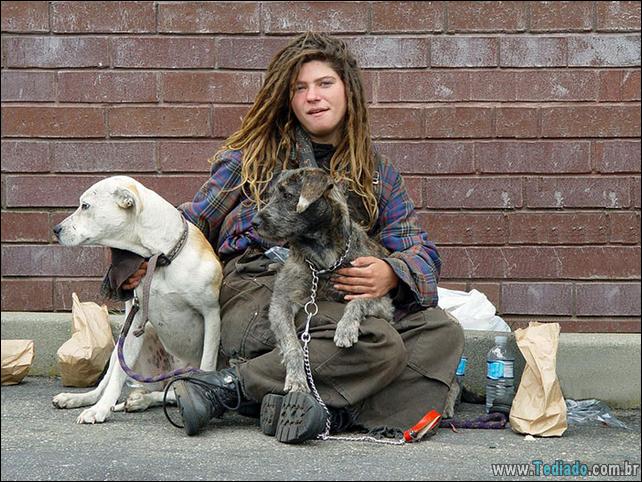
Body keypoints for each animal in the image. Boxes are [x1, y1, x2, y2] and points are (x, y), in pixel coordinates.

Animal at [50, 175, 221, 424]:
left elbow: (207, 366)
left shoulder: (212, 315)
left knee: (172, 391)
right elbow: (116, 378)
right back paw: (83, 399)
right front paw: (100, 410)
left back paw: (142, 399)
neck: (160, 257)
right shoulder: (134, 321)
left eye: (85, 206)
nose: (56, 229)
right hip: (127, 341)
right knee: (107, 384)